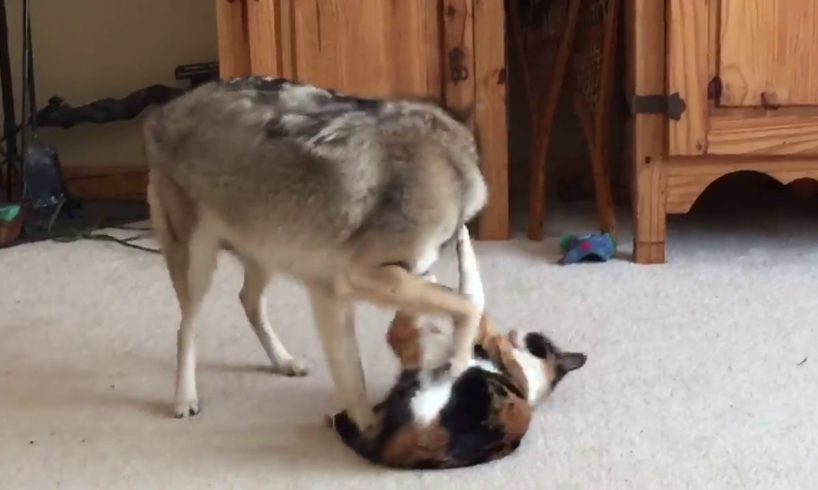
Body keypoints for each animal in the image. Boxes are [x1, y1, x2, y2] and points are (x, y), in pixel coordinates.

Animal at [328, 224, 584, 468]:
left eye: (536, 338)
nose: (519, 329)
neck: (530, 376)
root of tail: (386, 453)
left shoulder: (481, 339)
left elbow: (471, 298)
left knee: (406, 321)